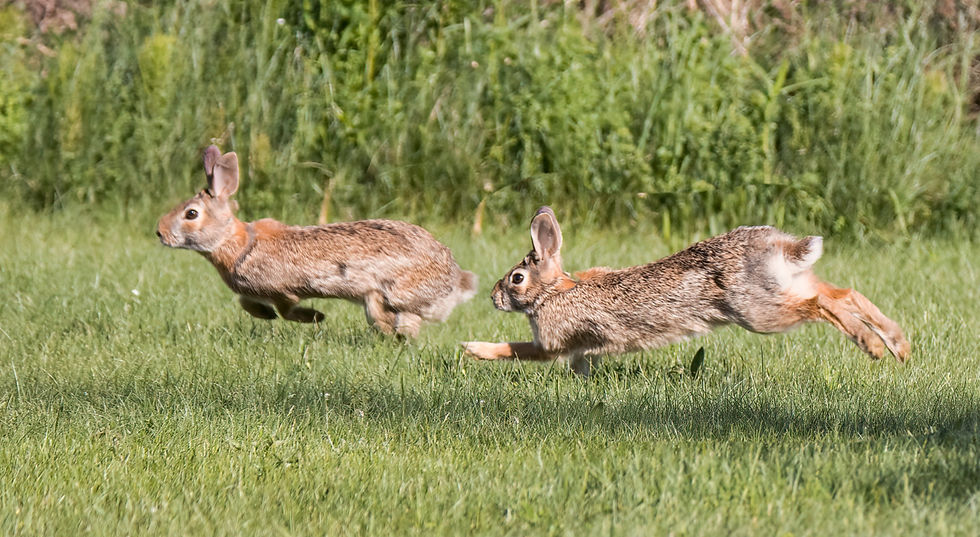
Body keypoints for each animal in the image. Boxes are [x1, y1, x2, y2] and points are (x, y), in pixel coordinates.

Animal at [156, 145, 477, 338]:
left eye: (191, 214)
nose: (159, 233)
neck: (238, 243)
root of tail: (456, 279)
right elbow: (246, 303)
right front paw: (265, 315)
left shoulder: (282, 290)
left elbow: (287, 310)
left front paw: (315, 317)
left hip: (388, 296)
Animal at [463, 206, 910, 375]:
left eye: (516, 278)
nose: (493, 297)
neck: (554, 290)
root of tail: (778, 246)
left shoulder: (552, 343)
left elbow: (518, 349)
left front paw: (473, 348)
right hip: (788, 285)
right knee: (843, 293)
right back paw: (899, 346)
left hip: (759, 312)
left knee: (821, 306)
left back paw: (872, 345)